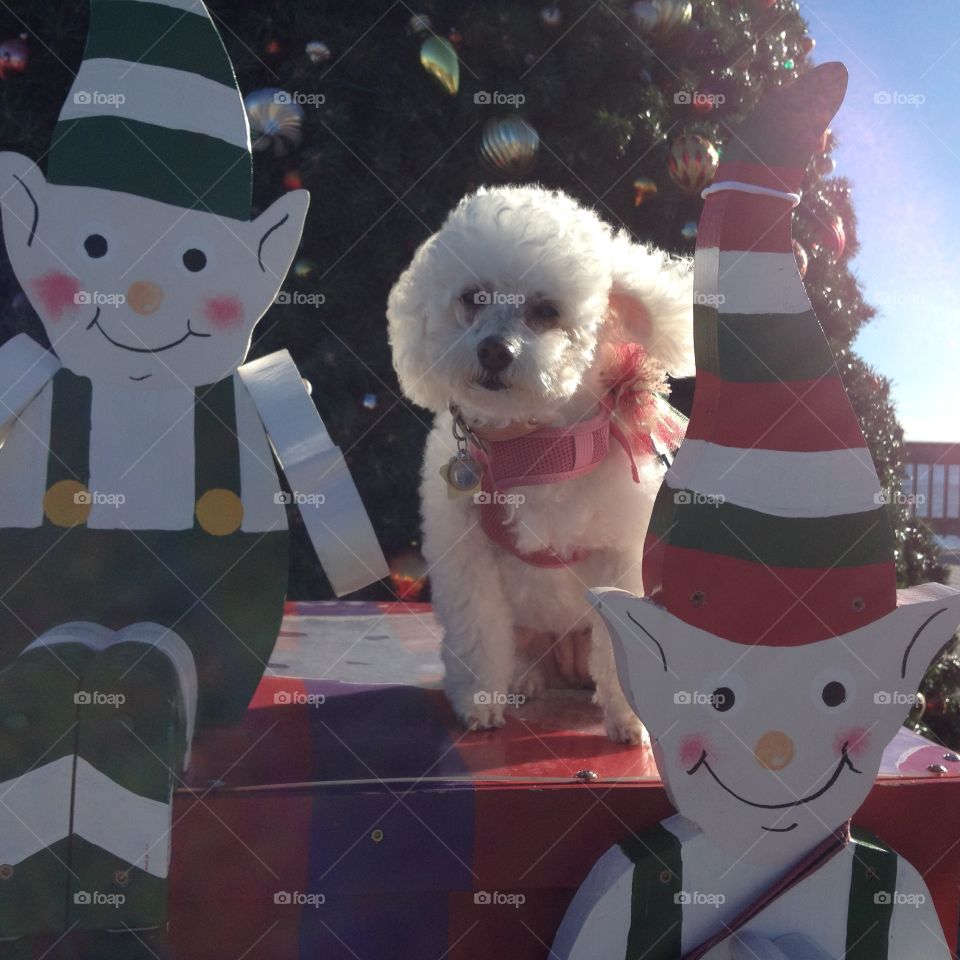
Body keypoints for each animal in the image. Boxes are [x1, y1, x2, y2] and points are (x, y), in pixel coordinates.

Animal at [386, 186, 692, 744]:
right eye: (473, 298)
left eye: (546, 310)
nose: (494, 350)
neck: (534, 448)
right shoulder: (466, 557)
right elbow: (477, 631)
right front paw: (478, 703)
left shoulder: (620, 556)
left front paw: (628, 720)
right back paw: (523, 680)